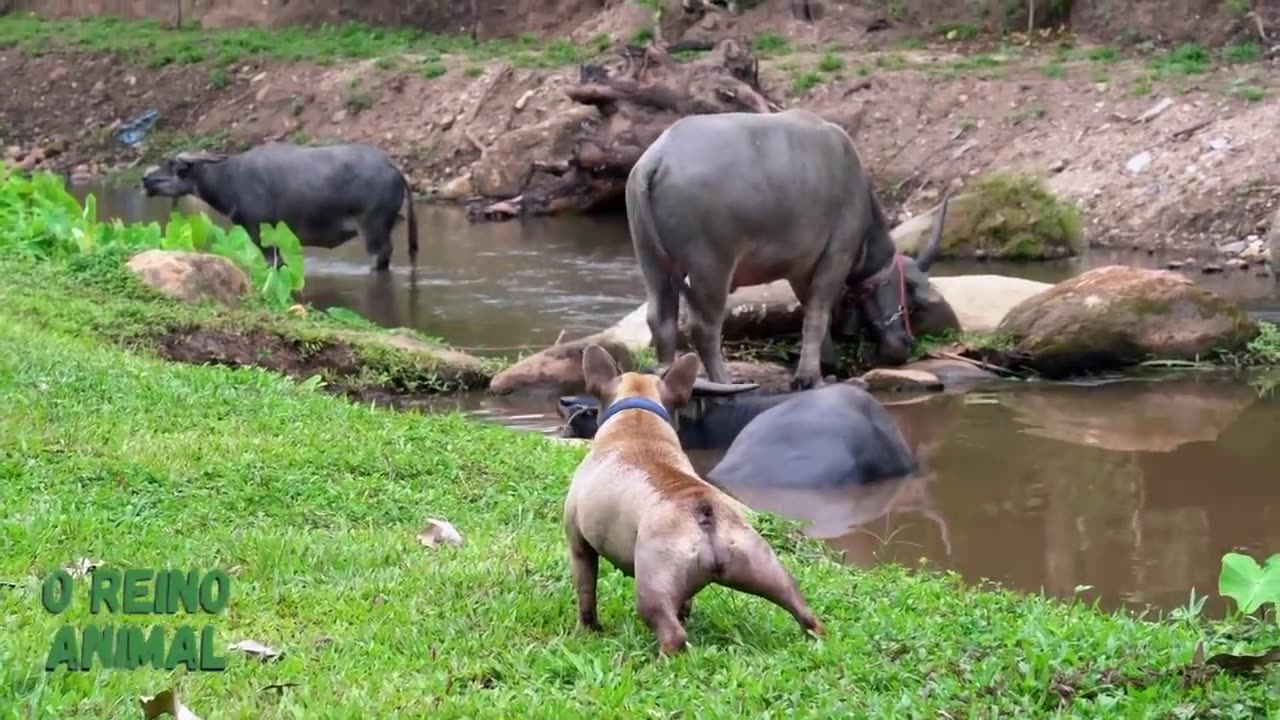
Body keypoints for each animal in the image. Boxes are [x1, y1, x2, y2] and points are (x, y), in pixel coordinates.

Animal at [140, 141, 419, 270]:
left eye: (173, 165)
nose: (145, 178)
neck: (230, 179)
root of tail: (392, 166)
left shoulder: (259, 231)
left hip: (373, 229)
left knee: (381, 257)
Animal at [563, 345, 824, 653]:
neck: (637, 418)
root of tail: (703, 512)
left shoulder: (579, 544)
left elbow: (586, 593)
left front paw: (587, 631)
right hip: (766, 568)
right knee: (805, 612)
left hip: (653, 585)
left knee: (670, 631)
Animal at [624, 106, 947, 389]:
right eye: (912, 302)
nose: (905, 343)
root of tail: (658, 157)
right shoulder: (837, 255)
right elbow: (817, 313)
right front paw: (811, 377)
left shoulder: (800, 269)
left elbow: (811, 309)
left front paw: (825, 363)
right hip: (711, 266)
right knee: (704, 327)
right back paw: (724, 381)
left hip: (652, 261)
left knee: (660, 320)